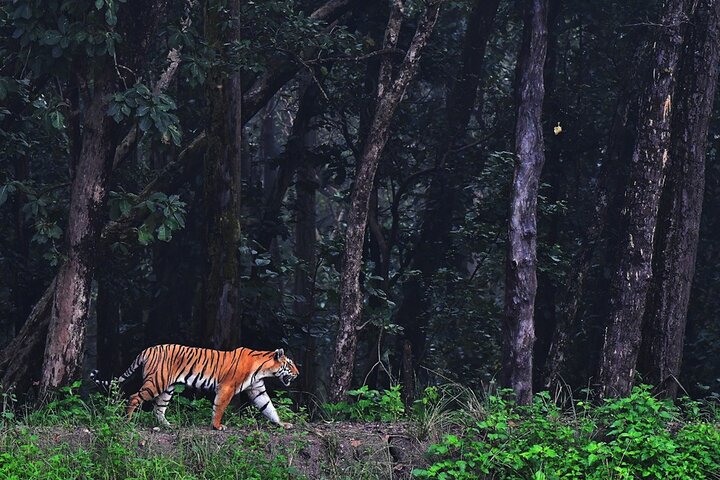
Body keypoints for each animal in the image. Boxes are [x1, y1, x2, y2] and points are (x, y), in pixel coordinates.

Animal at [90, 344, 299, 430]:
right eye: (289, 364)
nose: (298, 374)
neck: (263, 369)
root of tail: (148, 349)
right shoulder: (227, 388)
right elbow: (219, 407)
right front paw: (217, 426)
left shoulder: (257, 390)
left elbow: (269, 408)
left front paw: (282, 424)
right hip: (156, 382)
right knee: (134, 397)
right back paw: (127, 420)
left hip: (168, 388)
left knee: (159, 409)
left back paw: (168, 425)